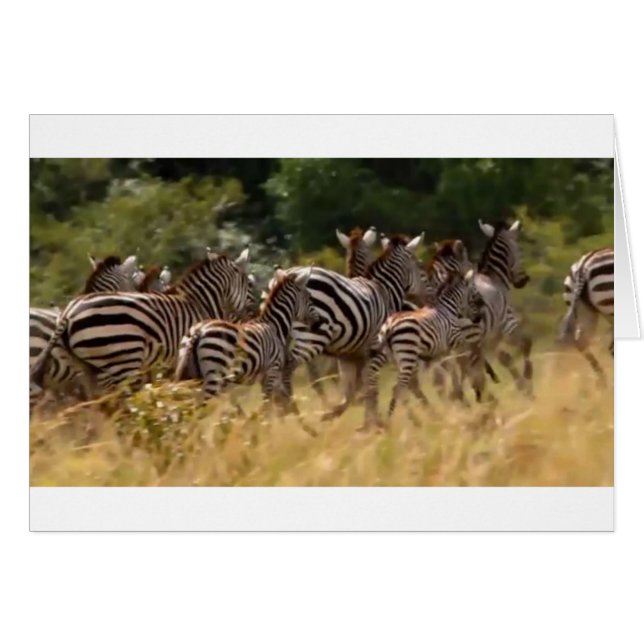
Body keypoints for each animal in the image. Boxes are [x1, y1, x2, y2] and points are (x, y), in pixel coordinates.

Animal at [31, 247, 253, 400]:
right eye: (249, 284)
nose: (253, 314)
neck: (199, 302)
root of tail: (68, 313)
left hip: (91, 370)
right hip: (123, 362)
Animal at [174, 267, 320, 416]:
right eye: (309, 296)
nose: (318, 322)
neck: (274, 325)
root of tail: (198, 331)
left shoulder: (265, 376)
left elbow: (274, 403)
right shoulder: (272, 370)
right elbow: (267, 405)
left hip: (191, 375)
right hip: (214, 376)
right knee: (199, 409)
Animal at [276, 232, 428, 421]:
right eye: (420, 266)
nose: (425, 301)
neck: (385, 291)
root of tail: (289, 273)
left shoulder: (348, 356)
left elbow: (352, 390)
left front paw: (335, 413)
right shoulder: (376, 352)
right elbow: (369, 387)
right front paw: (373, 421)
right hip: (313, 337)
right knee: (290, 368)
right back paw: (293, 410)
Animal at [362, 267, 486, 428]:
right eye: (475, 293)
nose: (480, 317)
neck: (448, 309)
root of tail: (389, 325)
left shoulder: (439, 353)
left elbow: (449, 371)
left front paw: (457, 394)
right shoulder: (456, 341)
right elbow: (463, 363)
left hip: (393, 357)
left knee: (400, 386)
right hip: (407, 356)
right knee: (398, 388)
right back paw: (393, 420)